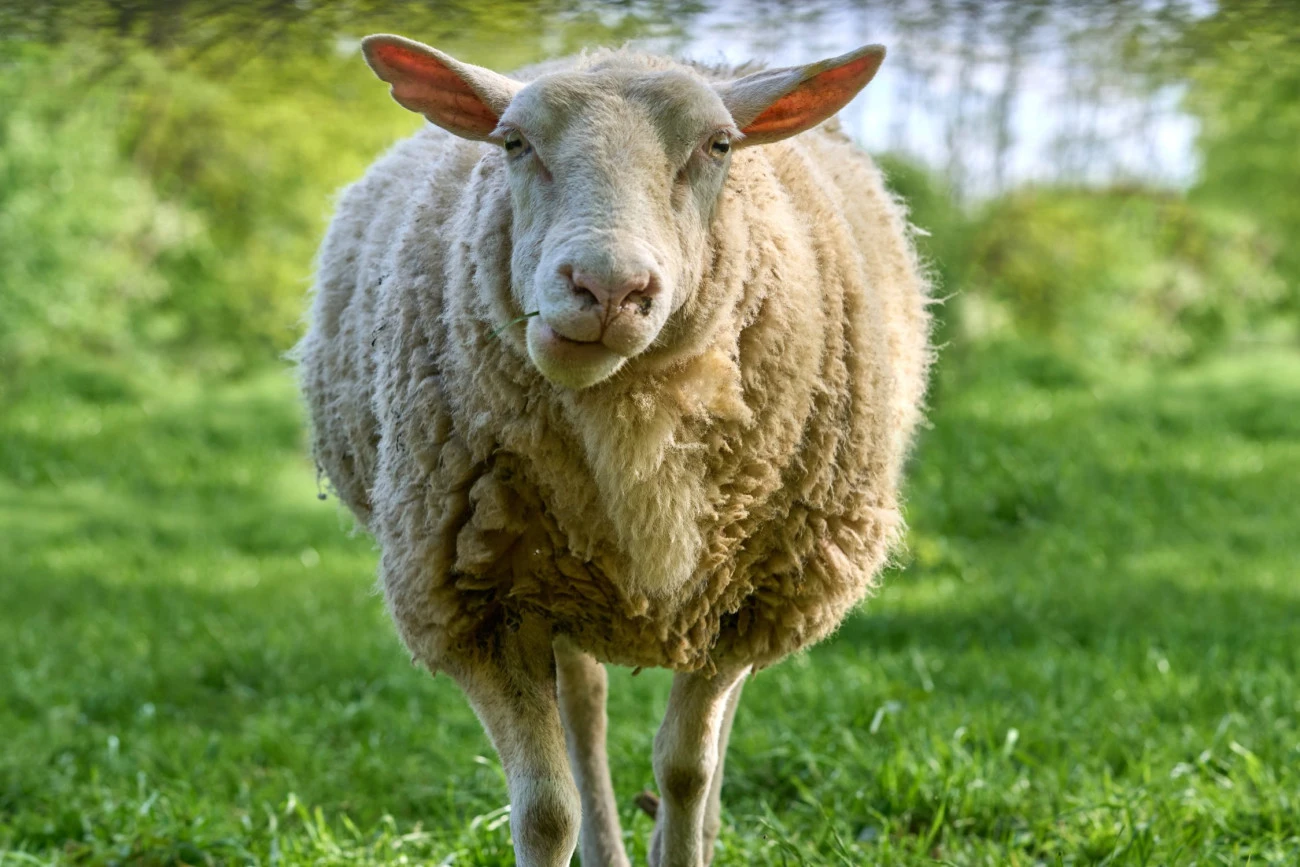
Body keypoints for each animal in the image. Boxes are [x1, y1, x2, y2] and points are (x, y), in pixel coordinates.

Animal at [295, 33, 932, 867]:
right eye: (513, 142)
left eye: (718, 145)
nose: (607, 288)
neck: (632, 424)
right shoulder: (476, 606)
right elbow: (544, 810)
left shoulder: (746, 595)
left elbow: (687, 765)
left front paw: (684, 836)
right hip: (554, 581)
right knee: (585, 705)